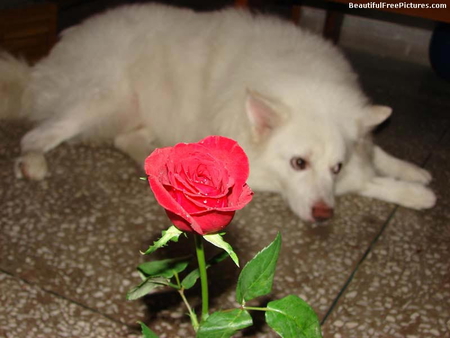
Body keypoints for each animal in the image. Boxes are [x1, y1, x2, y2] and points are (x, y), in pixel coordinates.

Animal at [0, 5, 436, 223]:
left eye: (336, 167)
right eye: (298, 163)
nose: (324, 216)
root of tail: (41, 69)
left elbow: (377, 157)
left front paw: (412, 175)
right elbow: (367, 183)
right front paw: (413, 193)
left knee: (126, 139)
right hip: (104, 97)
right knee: (35, 135)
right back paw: (33, 162)